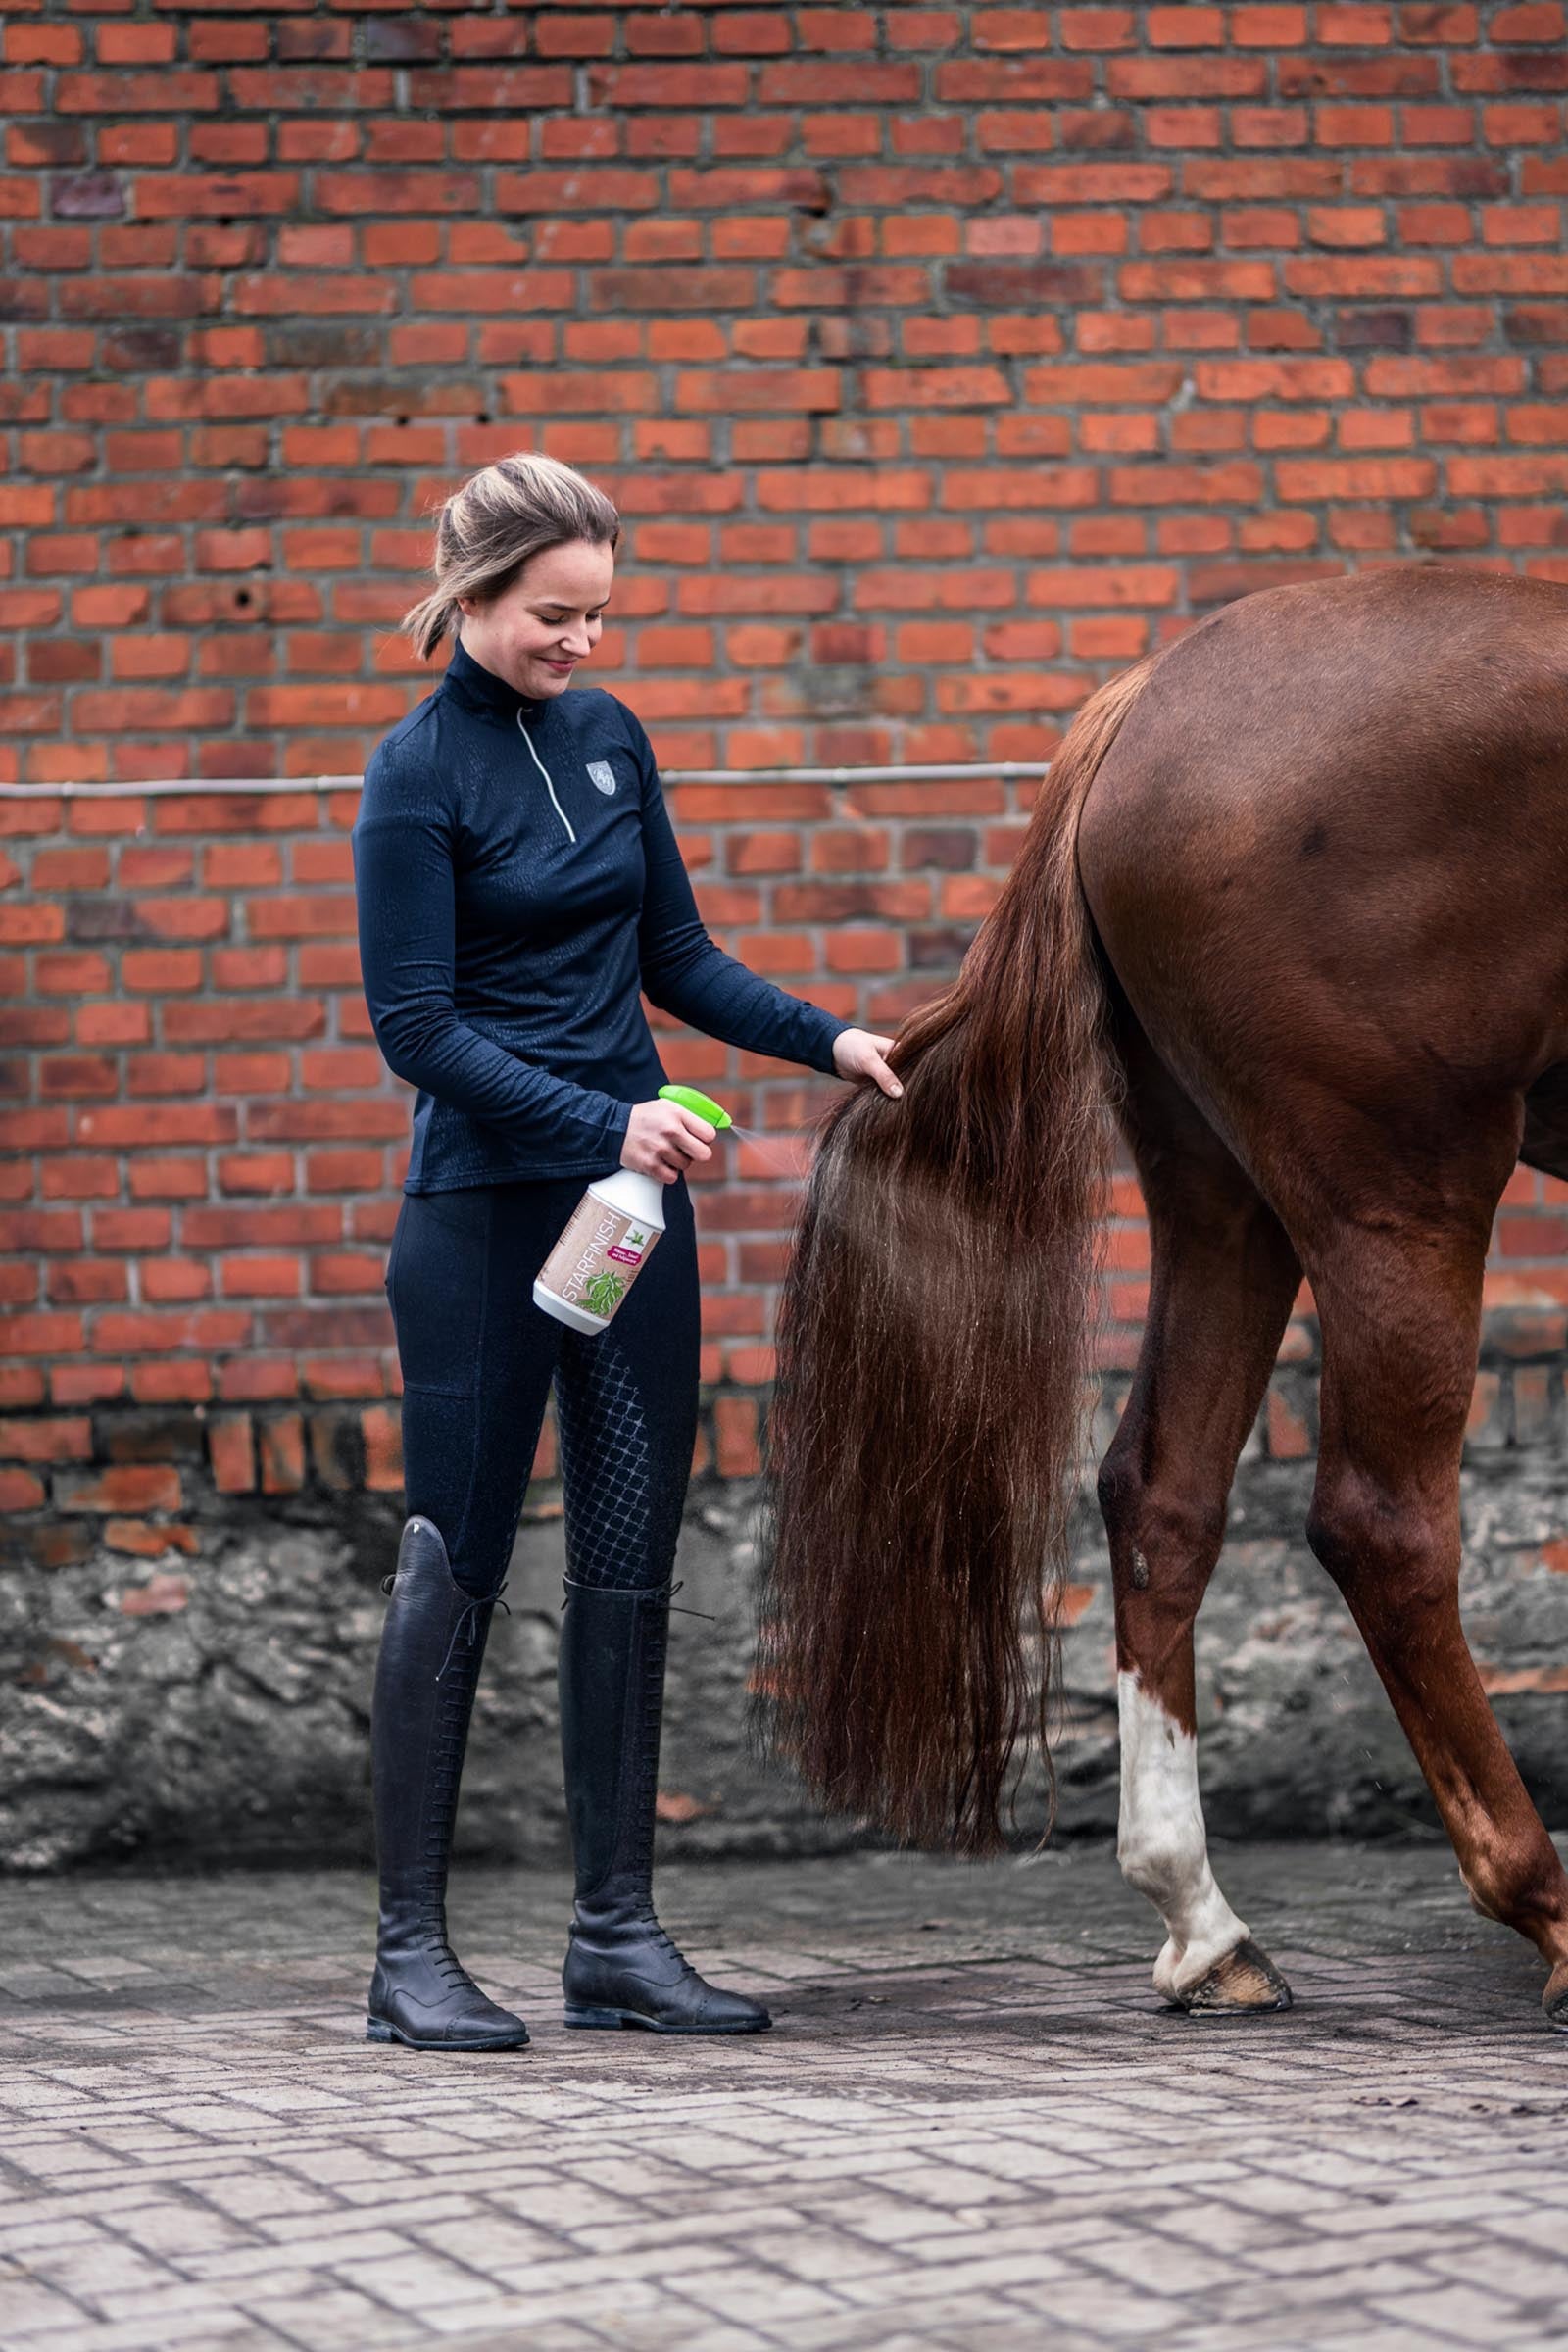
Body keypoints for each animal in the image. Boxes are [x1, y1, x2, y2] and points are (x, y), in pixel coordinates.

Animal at [757, 563, 1568, 2032]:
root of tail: (1143, 707)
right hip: (1399, 1192)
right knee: (1385, 1526)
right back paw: (1544, 1907)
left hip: (1224, 1194)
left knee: (1162, 1492)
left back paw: (1203, 1923)